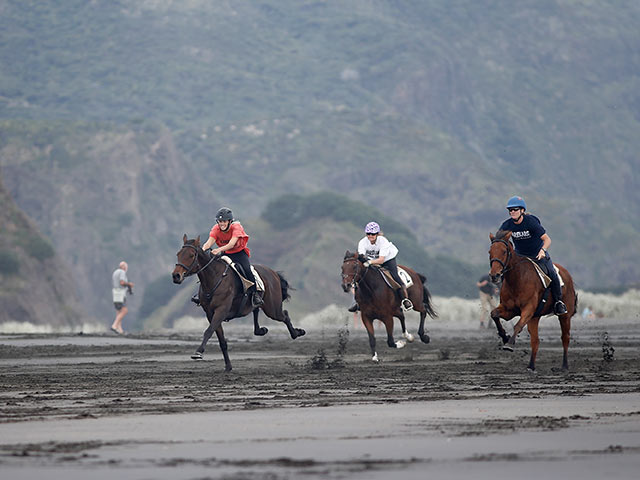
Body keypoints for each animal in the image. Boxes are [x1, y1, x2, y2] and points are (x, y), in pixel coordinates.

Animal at [172, 235, 304, 372]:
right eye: (178, 254)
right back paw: (261, 330)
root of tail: (273, 273)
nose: (176, 276)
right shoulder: (210, 313)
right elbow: (221, 340)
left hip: (272, 309)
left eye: (191, 255)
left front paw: (198, 352)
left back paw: (297, 333)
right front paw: (228, 366)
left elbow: (208, 331)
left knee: (284, 314)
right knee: (257, 311)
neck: (214, 278)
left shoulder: (221, 310)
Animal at [490, 229, 580, 372]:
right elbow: (494, 314)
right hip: (535, 317)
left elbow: (518, 325)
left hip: (565, 316)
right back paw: (531, 366)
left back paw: (564, 366)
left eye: (504, 251)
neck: (517, 278)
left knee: (565, 338)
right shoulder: (510, 310)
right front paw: (505, 337)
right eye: (490, 252)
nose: (494, 275)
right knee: (535, 341)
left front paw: (509, 344)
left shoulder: (528, 309)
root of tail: (568, 275)